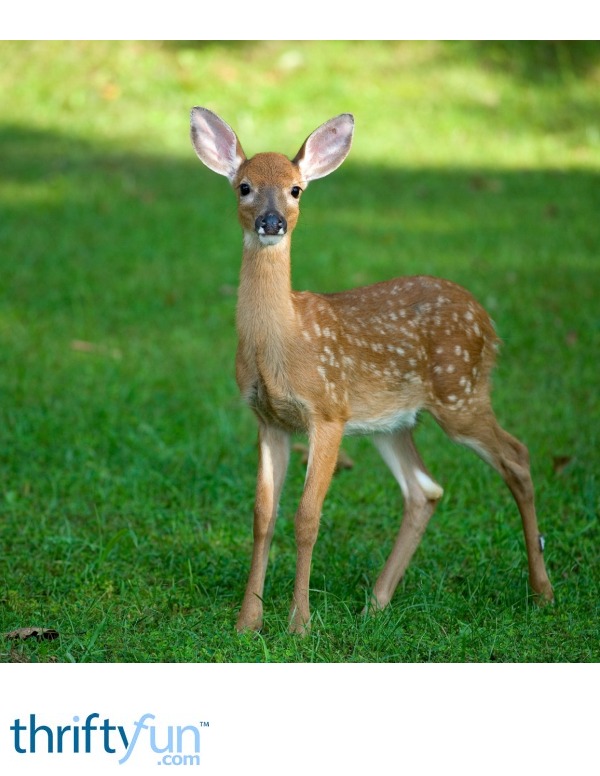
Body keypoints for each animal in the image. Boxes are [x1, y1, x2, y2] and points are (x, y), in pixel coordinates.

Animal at [191, 107, 552, 632]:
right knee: (425, 489)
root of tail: (488, 321)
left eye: (296, 189)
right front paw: (247, 623)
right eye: (244, 186)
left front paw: (299, 625)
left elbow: (307, 517)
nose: (271, 221)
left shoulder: (328, 410)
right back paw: (376, 602)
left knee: (517, 455)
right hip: (392, 422)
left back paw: (542, 591)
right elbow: (263, 516)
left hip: (460, 391)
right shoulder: (268, 419)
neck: (283, 341)